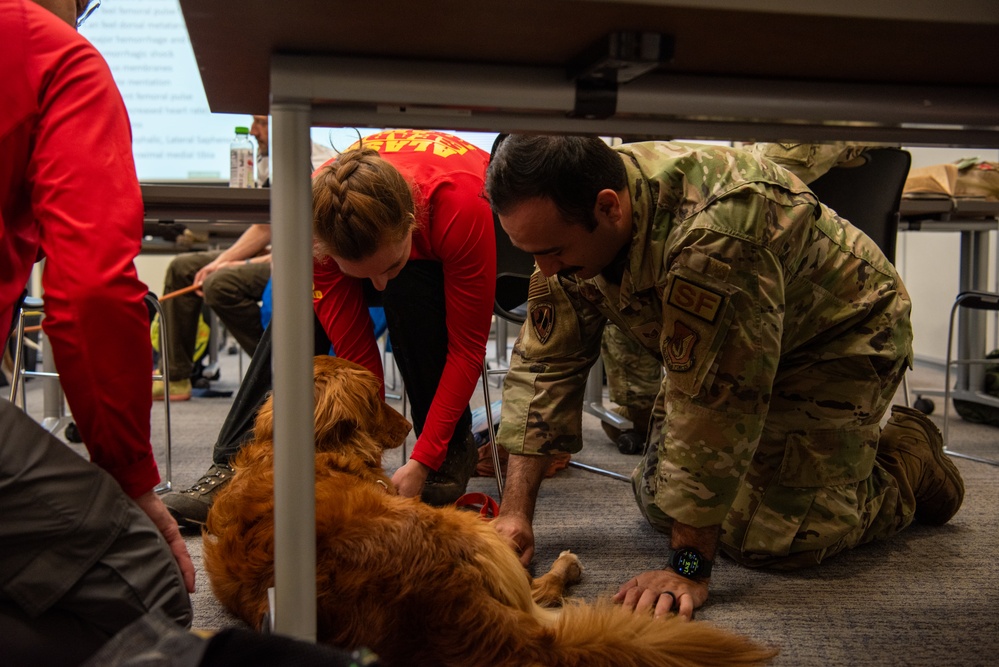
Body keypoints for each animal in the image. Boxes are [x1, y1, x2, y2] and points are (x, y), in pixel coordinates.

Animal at [205, 358, 780, 664]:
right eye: (375, 397)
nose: (406, 424)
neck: (308, 453)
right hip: (474, 529)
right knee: (543, 593)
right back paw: (565, 566)